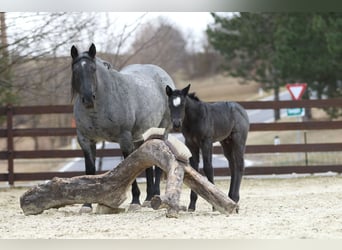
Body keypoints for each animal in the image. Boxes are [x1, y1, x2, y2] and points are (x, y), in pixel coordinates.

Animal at [70, 44, 175, 212]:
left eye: (93, 69)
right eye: (75, 70)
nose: (88, 99)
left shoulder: (124, 139)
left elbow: (129, 168)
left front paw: (135, 201)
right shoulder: (86, 141)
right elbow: (90, 170)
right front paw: (86, 205)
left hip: (162, 131)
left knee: (158, 164)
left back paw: (154, 197)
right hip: (141, 136)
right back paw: (148, 198)